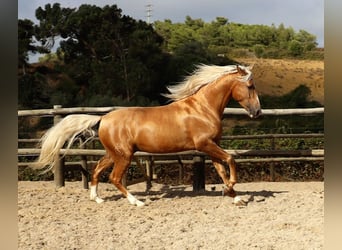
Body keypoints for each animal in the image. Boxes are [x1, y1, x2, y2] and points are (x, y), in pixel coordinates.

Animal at [32, 64, 262, 207]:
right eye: (250, 86)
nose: (257, 112)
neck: (203, 108)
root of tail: (103, 118)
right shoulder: (204, 144)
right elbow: (230, 160)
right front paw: (231, 188)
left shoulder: (211, 146)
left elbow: (222, 170)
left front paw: (235, 197)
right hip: (124, 156)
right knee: (115, 178)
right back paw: (138, 202)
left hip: (114, 153)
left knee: (97, 170)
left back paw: (97, 199)